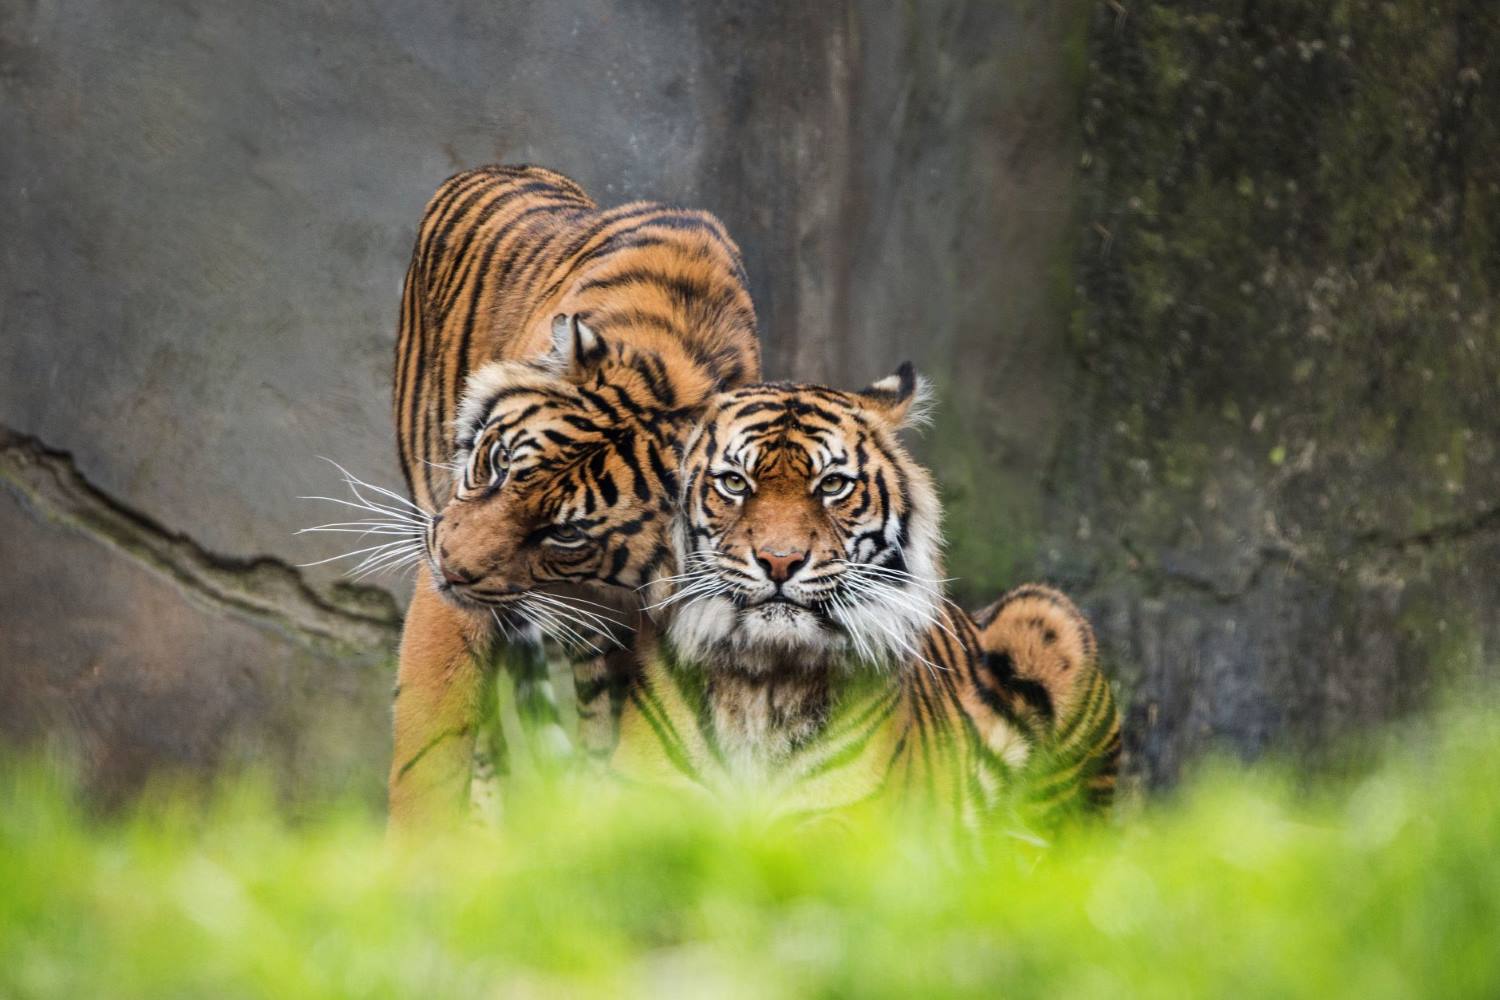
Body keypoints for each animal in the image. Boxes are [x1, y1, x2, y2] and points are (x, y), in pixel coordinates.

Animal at [612, 368, 1120, 832]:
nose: (780, 560)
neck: (764, 681)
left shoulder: (849, 827)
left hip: (1049, 615)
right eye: (735, 483)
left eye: (832, 485)